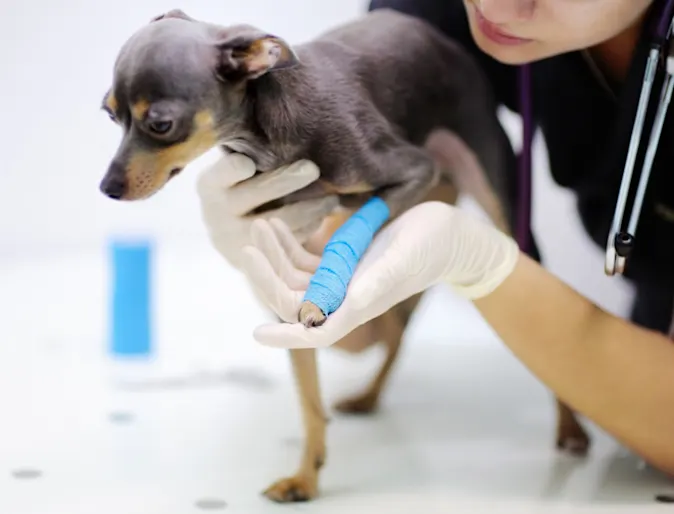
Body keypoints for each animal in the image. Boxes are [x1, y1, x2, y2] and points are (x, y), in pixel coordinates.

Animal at [98, 7, 588, 500]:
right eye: (109, 114)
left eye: (160, 124)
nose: (107, 188)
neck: (269, 135)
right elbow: (309, 398)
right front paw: (305, 476)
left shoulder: (413, 170)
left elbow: (356, 227)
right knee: (397, 328)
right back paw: (369, 395)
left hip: (497, 200)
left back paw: (570, 429)